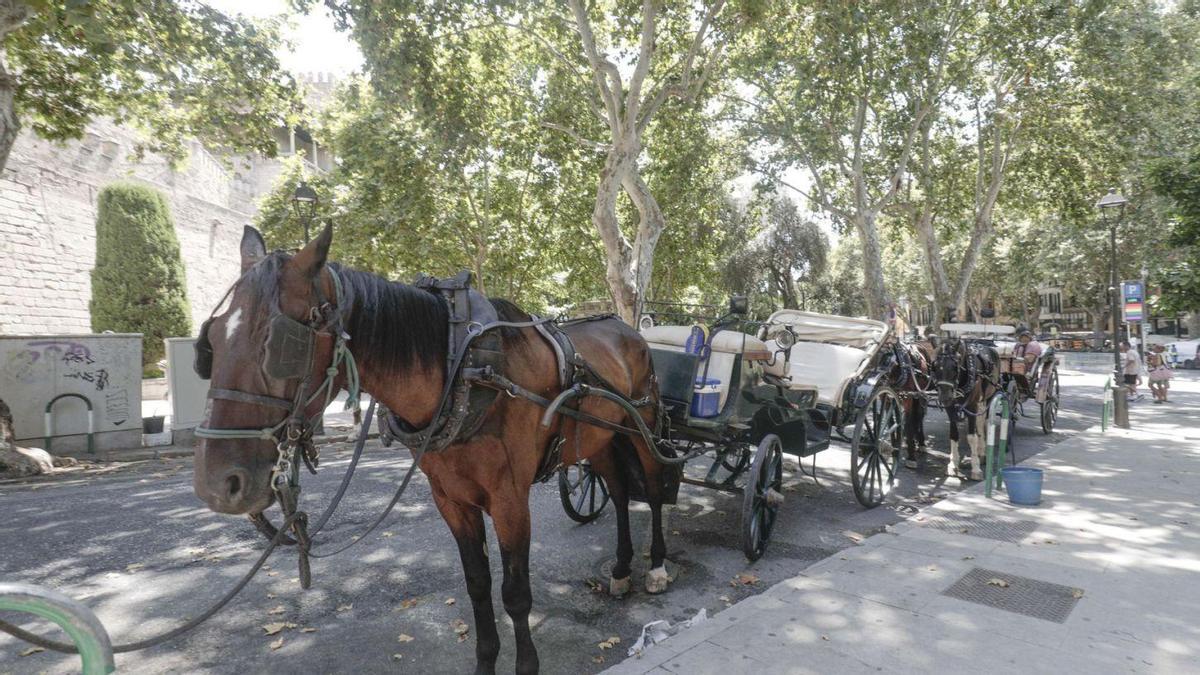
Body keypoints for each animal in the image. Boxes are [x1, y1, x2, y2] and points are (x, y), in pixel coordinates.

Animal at [192, 223, 672, 667]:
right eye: (209, 343)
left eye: (278, 345)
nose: (217, 484)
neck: (463, 367)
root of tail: (624, 326)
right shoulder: (451, 499)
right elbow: (477, 584)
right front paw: (485, 659)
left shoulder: (510, 500)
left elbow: (515, 593)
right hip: (600, 438)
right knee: (619, 490)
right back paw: (621, 570)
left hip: (644, 429)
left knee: (652, 486)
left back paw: (657, 567)